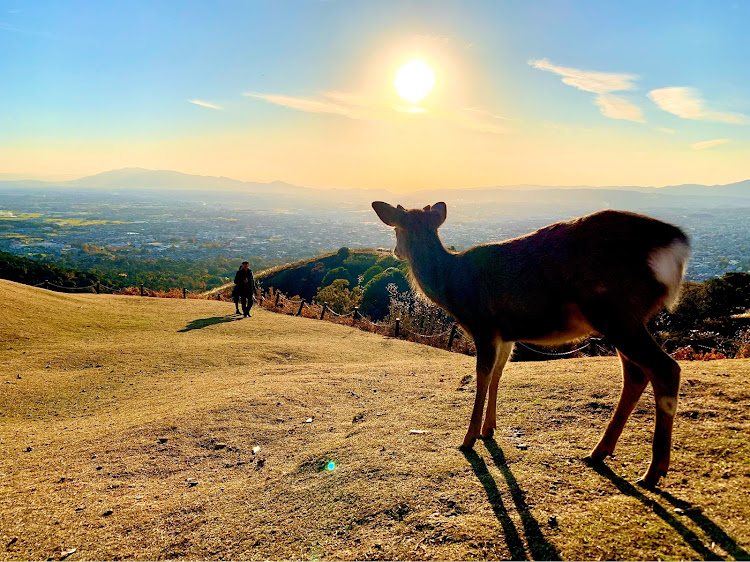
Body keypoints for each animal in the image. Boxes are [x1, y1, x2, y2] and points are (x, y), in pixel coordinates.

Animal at [374, 201, 692, 486]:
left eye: (396, 230)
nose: (395, 251)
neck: (451, 288)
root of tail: (678, 245)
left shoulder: (484, 325)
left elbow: (482, 375)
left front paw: (468, 438)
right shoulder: (506, 335)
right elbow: (498, 374)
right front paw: (489, 429)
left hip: (616, 313)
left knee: (666, 369)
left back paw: (653, 471)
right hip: (623, 320)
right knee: (637, 374)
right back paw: (599, 452)